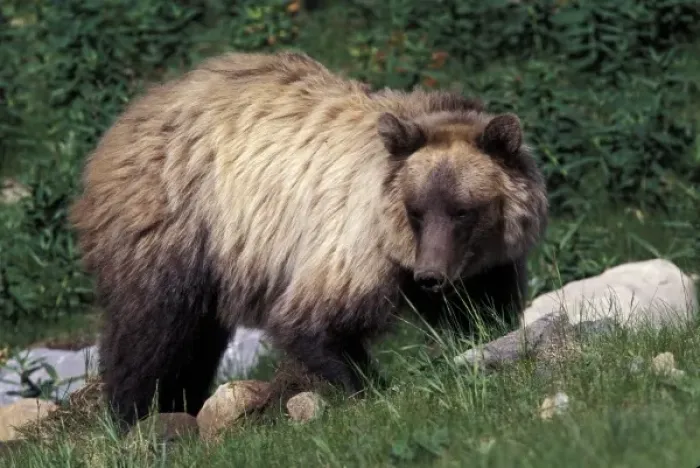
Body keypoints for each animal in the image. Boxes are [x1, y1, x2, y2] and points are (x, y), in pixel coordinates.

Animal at [69, 50, 548, 427]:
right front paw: (373, 388)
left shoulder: (482, 262)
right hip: (177, 220)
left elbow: (482, 309)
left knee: (196, 336)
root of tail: (118, 129)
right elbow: (313, 322)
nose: (431, 275)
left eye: (463, 210)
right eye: (416, 210)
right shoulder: (355, 243)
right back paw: (135, 414)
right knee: (155, 327)